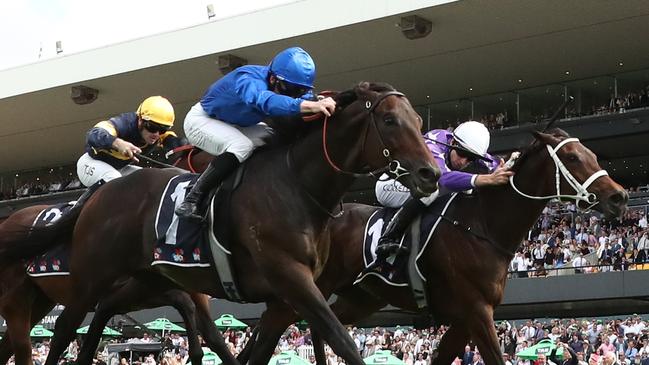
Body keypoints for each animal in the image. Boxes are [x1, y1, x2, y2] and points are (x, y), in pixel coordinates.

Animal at [238, 129, 628, 364]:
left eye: (591, 153)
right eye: (573, 158)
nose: (619, 197)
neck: (483, 225)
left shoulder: (466, 318)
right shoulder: (476, 311)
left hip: (360, 298)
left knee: (320, 327)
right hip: (303, 287)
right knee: (273, 329)